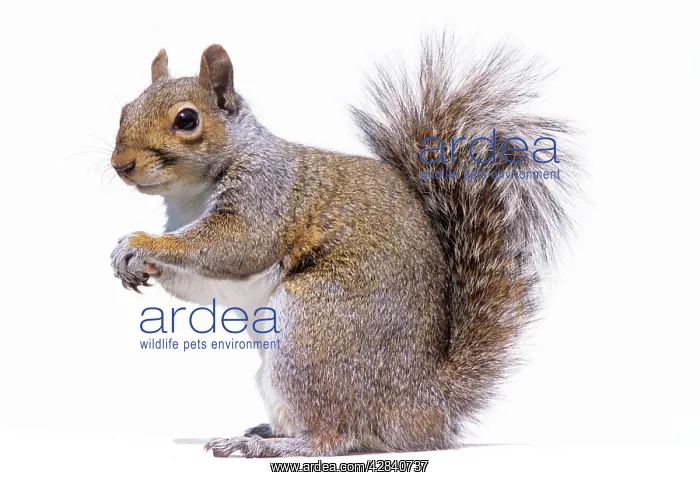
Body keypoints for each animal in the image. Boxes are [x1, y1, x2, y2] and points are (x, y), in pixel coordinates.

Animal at [109, 36, 577, 457]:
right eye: (124, 110)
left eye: (187, 119)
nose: (120, 165)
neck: (191, 194)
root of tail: (423, 405)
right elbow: (198, 285)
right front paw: (136, 264)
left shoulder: (265, 195)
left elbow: (235, 245)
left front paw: (139, 243)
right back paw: (268, 431)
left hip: (313, 330)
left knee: (334, 435)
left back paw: (267, 446)